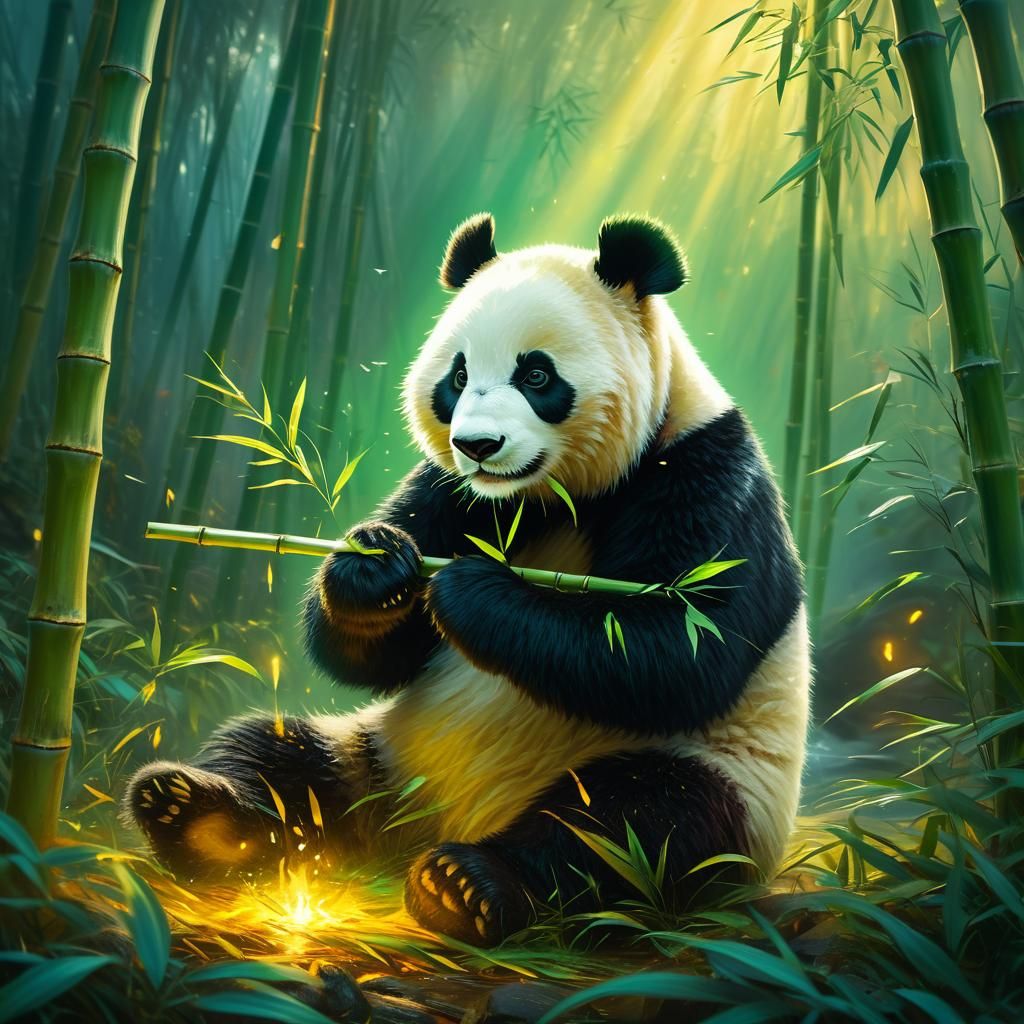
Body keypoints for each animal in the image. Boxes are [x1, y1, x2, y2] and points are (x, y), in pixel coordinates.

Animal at [127, 213, 810, 947]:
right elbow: (369, 651)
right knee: (277, 754)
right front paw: (374, 569)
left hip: (729, 786)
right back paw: (194, 815)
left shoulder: (706, 473)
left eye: (536, 374)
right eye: (456, 376)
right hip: (377, 749)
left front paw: (470, 592)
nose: (477, 446)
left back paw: (466, 885)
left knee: (633, 826)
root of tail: (419, 826)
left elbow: (676, 648)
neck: (558, 495)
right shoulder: (450, 490)